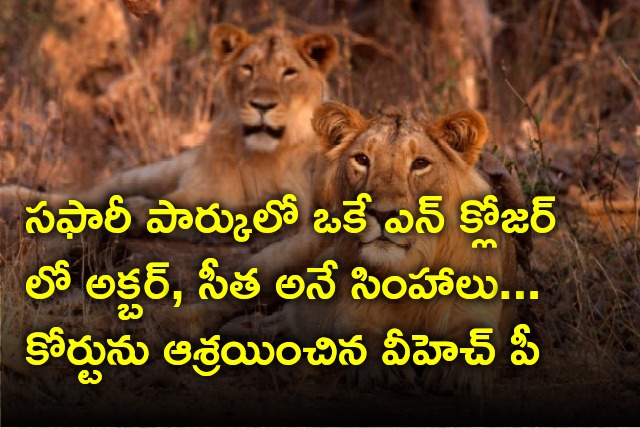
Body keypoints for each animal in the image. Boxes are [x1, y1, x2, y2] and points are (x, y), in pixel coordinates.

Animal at [0, 24, 338, 224]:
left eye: (289, 72)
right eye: (247, 68)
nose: (262, 106)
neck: (261, 155)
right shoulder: (198, 188)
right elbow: (174, 204)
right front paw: (137, 209)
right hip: (149, 173)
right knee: (88, 197)